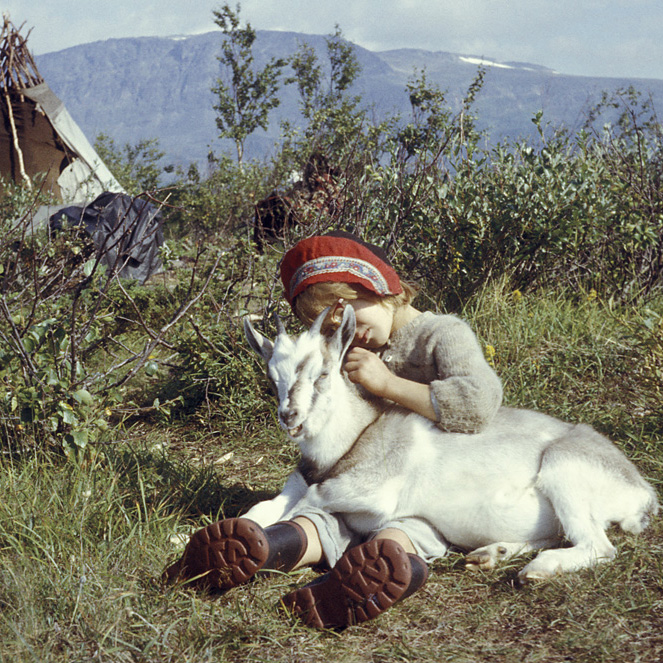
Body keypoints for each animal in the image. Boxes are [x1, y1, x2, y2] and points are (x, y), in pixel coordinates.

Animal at [243, 306, 659, 583]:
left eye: (324, 373)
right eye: (273, 378)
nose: (290, 417)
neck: (359, 433)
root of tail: (642, 493)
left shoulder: (373, 493)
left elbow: (307, 501)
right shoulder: (299, 483)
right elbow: (263, 509)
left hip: (565, 474)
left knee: (599, 547)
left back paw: (535, 570)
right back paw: (492, 554)